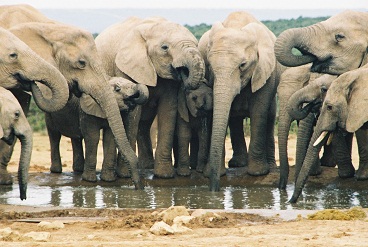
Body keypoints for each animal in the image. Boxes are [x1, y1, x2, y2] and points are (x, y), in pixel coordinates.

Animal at [95, 16, 206, 178]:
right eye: (165, 47)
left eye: (197, 44)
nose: (183, 71)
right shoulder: (125, 67)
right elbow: (133, 116)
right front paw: (125, 175)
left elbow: (168, 109)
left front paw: (165, 175)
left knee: (145, 123)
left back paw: (147, 167)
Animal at [198, 11, 284, 191]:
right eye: (209, 65)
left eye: (243, 65)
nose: (214, 189)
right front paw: (214, 173)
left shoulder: (264, 71)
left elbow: (259, 111)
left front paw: (258, 173)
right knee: (235, 120)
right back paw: (237, 164)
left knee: (269, 116)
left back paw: (271, 167)